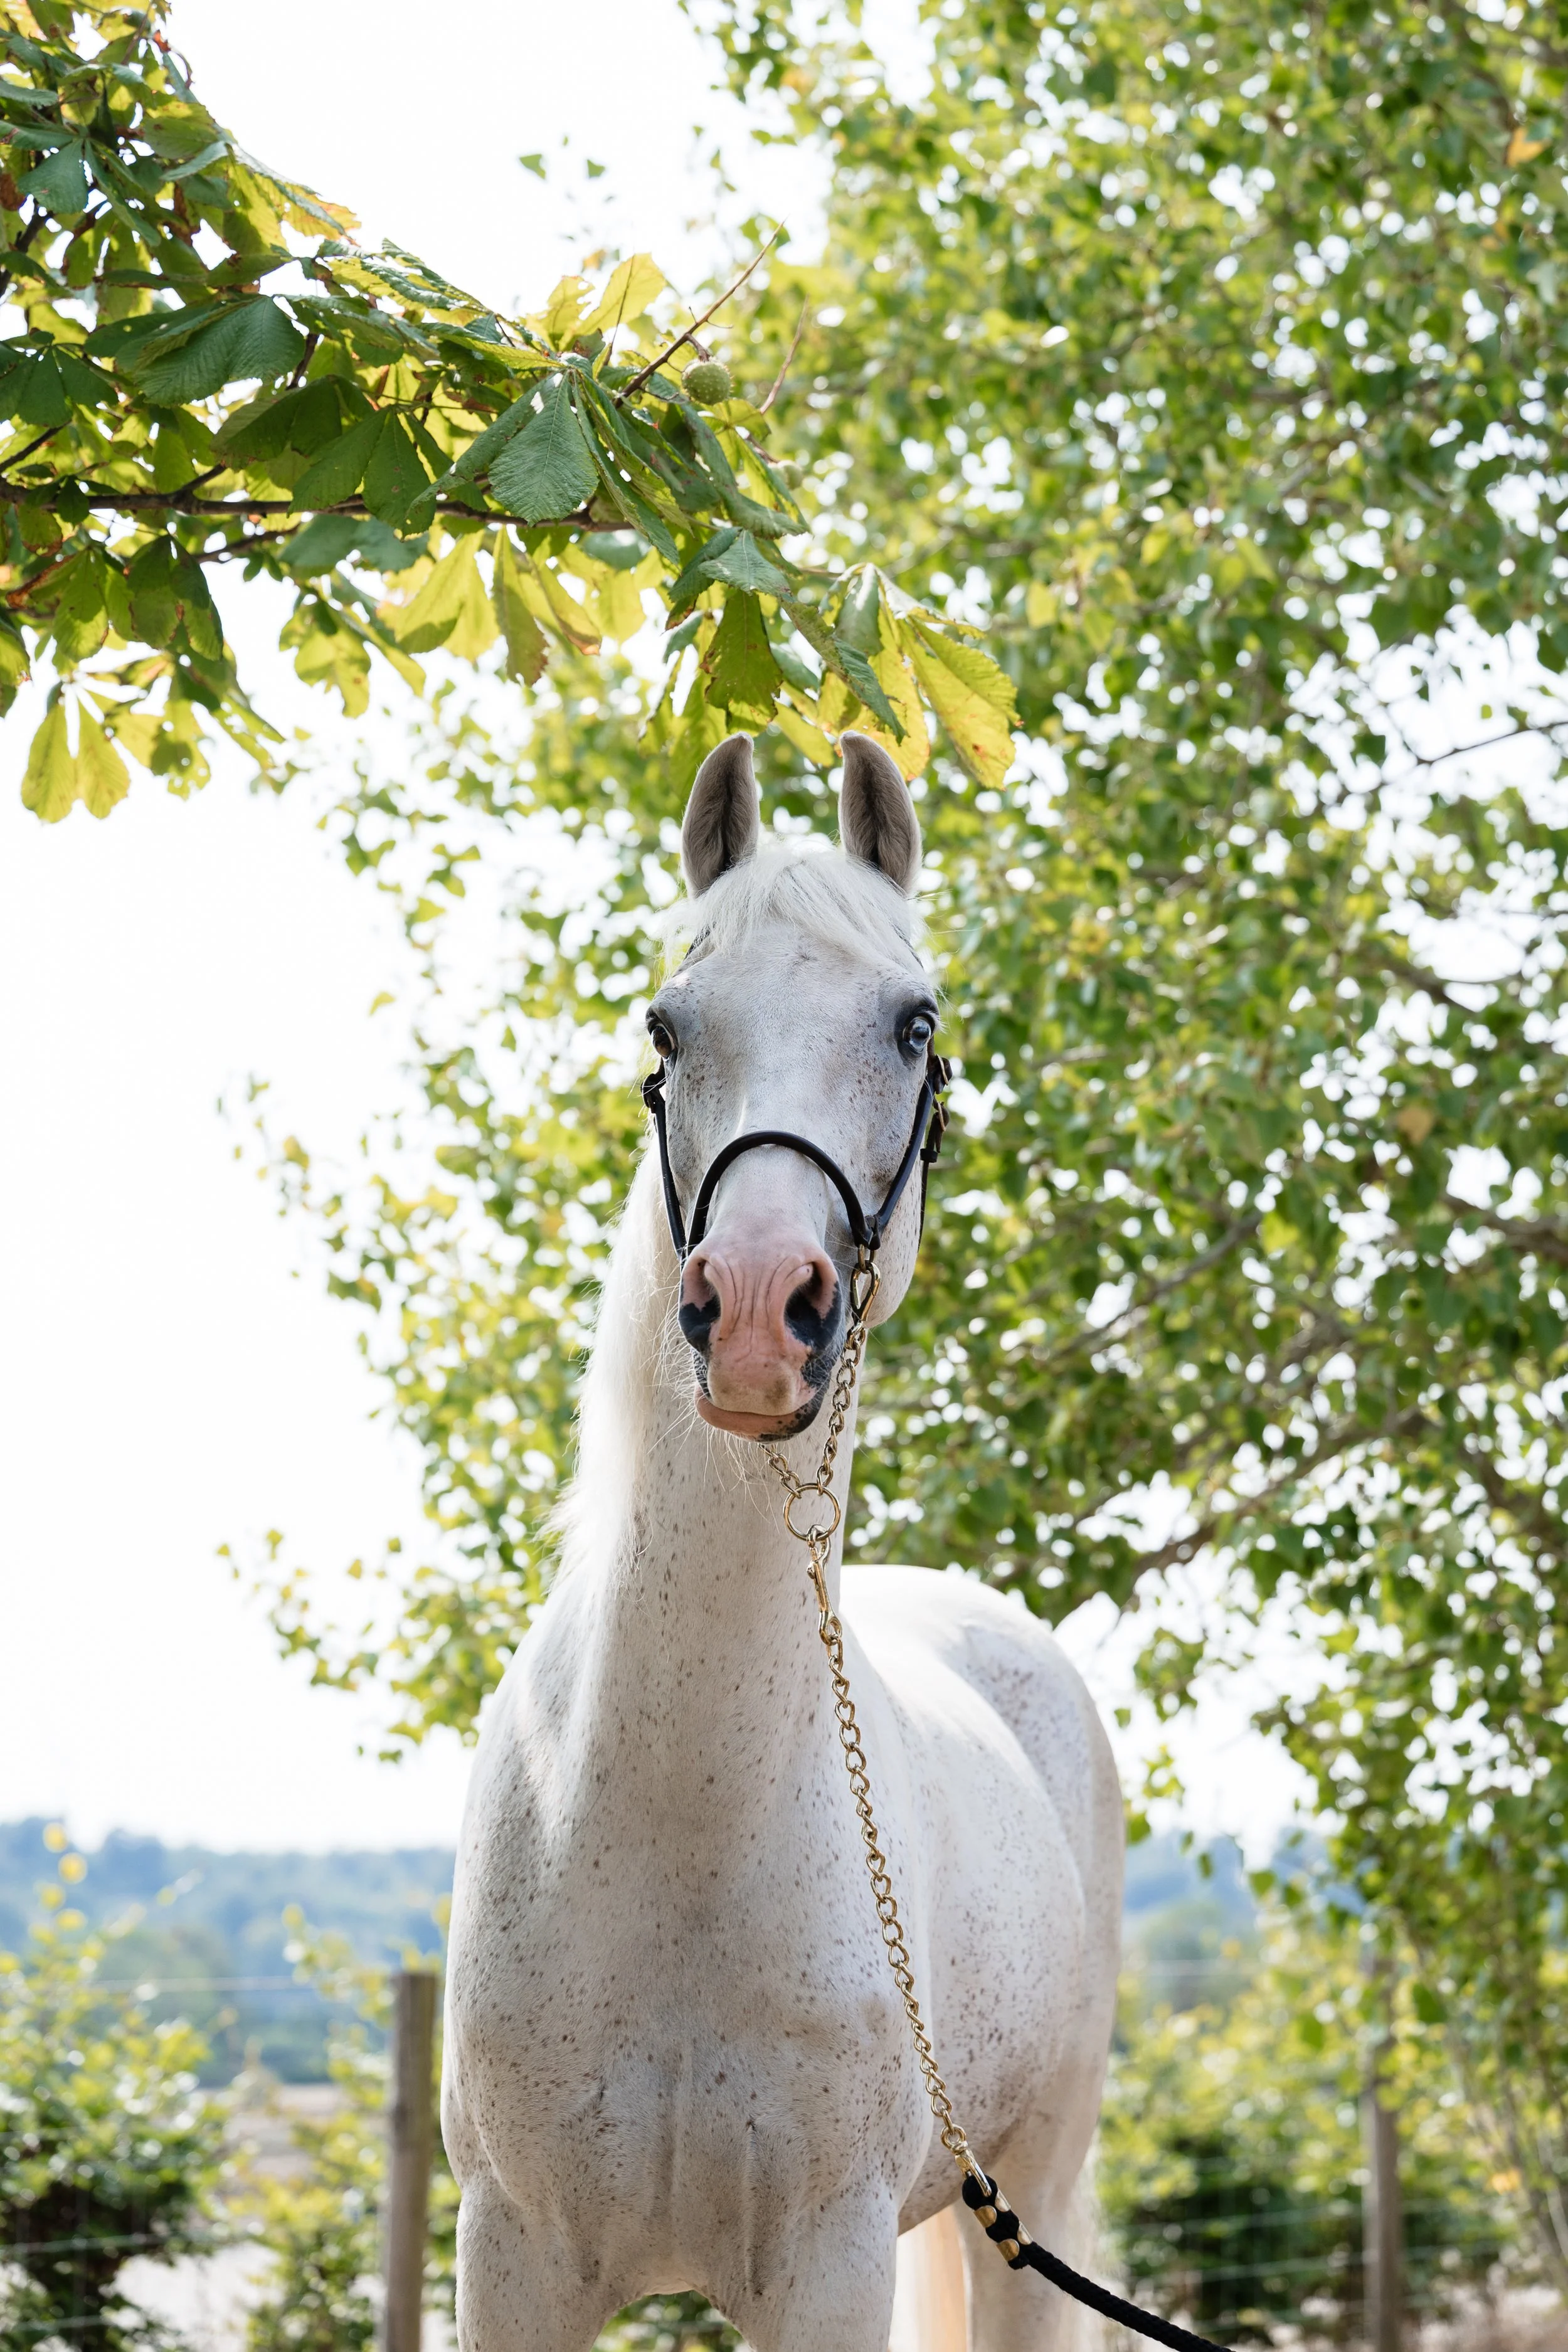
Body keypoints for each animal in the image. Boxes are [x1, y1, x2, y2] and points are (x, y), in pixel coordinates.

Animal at [442, 730, 1124, 2352]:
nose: (758, 1308)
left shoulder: (828, 2261)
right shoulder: (510, 2255)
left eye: (914, 1023)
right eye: (665, 1023)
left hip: (1032, 2190)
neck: (668, 1814)